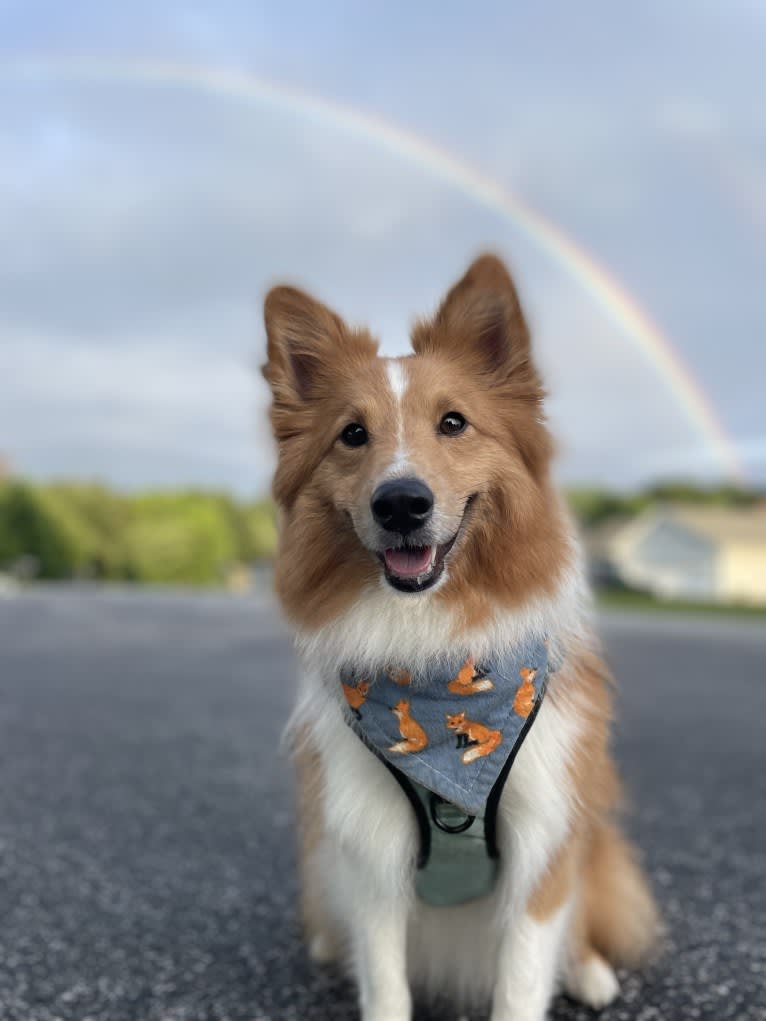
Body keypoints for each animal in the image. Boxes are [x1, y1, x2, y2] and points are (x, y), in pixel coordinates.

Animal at [263, 255, 661, 1021]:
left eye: (454, 423)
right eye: (351, 435)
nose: (401, 503)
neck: (432, 647)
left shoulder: (542, 845)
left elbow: (523, 980)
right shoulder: (371, 854)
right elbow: (385, 983)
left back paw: (590, 971)